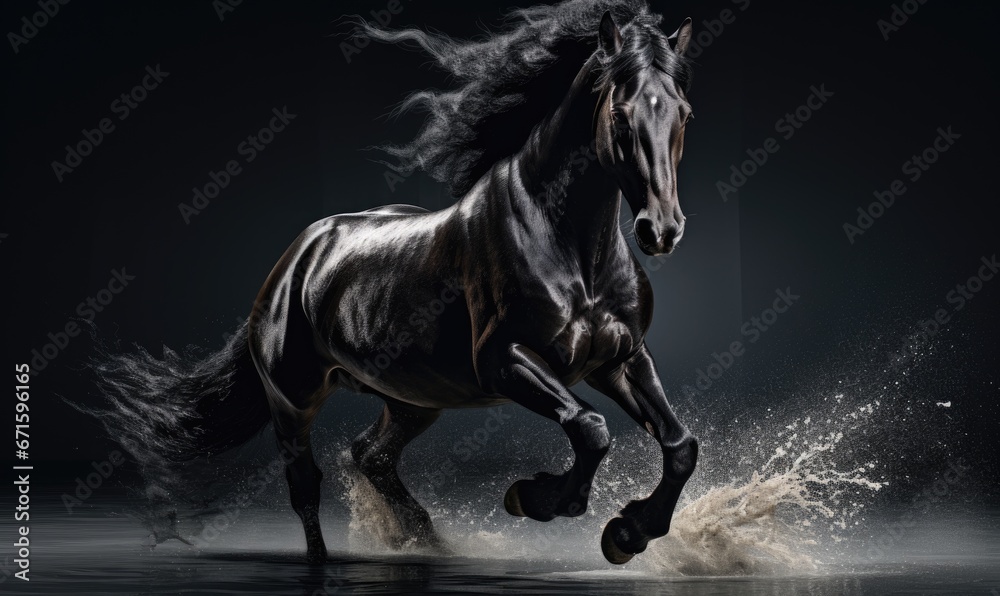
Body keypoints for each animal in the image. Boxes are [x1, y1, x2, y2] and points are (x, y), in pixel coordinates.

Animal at [92, 0, 699, 565]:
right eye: (620, 112)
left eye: (684, 113)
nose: (662, 229)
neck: (574, 250)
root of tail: (295, 259)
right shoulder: (505, 361)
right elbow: (591, 428)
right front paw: (533, 498)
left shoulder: (619, 359)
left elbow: (679, 444)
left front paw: (627, 533)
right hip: (292, 402)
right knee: (306, 487)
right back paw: (328, 559)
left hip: (412, 399)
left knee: (371, 455)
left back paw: (427, 541)